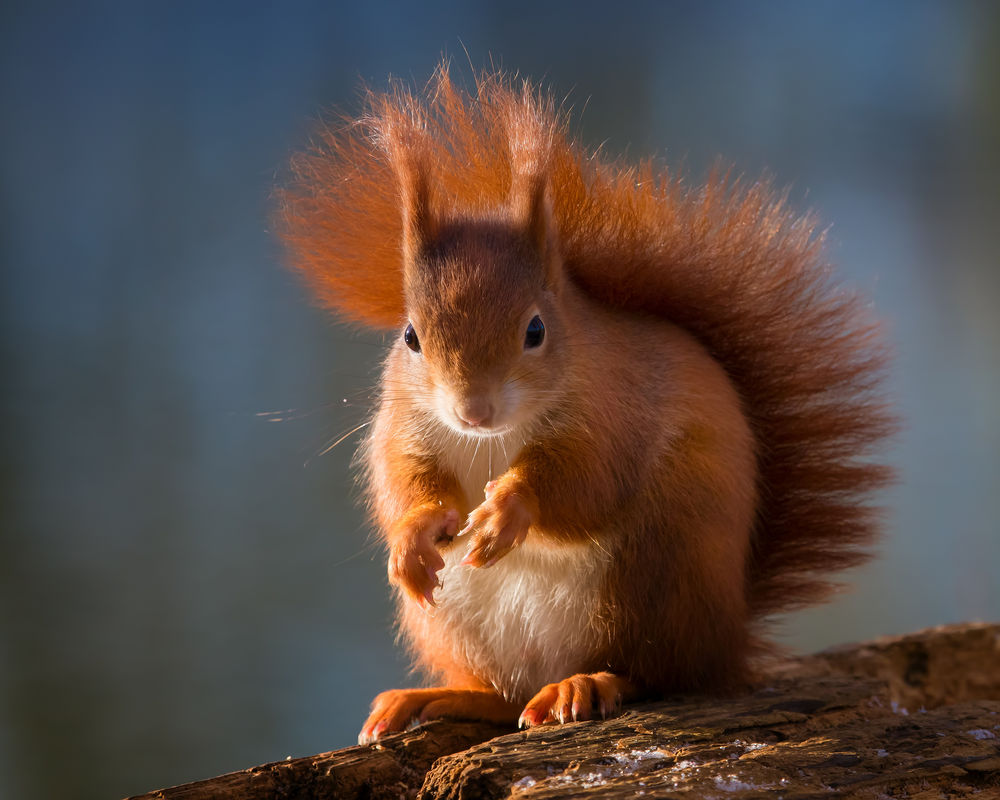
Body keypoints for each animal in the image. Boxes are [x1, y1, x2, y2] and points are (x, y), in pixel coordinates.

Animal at [276, 65, 895, 745]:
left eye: (536, 330)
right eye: (411, 336)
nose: (472, 411)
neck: (494, 439)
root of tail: (728, 639)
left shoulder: (616, 409)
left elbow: (589, 478)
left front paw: (510, 509)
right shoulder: (405, 425)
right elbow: (401, 480)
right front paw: (415, 535)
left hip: (653, 576)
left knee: (656, 673)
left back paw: (587, 684)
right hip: (454, 625)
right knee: (503, 695)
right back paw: (440, 696)